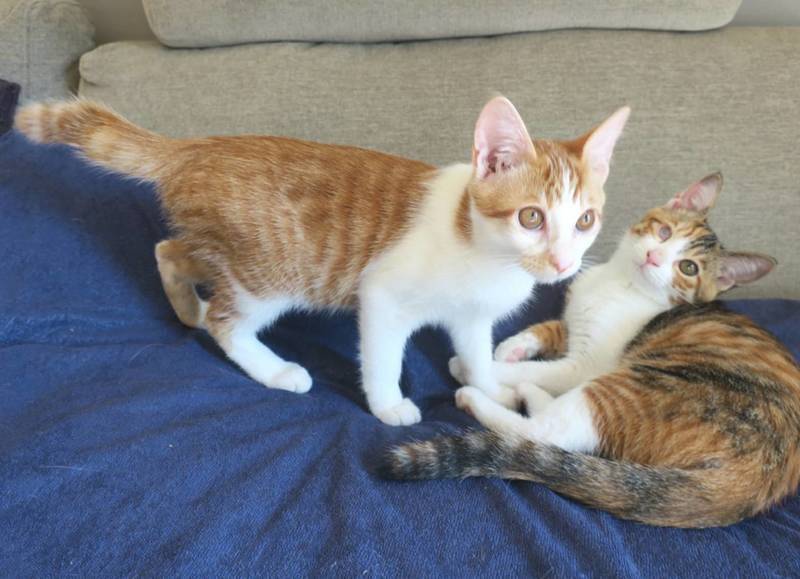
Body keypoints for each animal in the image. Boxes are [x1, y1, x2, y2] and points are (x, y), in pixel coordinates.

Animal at [14, 97, 629, 425]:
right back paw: (272, 367)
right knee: (226, 321)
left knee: (170, 249)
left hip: (224, 248)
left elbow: (477, 355)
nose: (561, 263)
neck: (480, 247)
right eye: (531, 218)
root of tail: (196, 147)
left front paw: (488, 386)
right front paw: (389, 405)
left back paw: (186, 306)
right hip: (268, 273)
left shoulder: (472, 319)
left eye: (584, 222)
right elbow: (381, 356)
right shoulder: (381, 294)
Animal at [381, 173, 800, 527]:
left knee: (544, 434)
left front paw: (479, 365)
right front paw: (512, 346)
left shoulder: (586, 365)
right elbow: (552, 327)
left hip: (634, 386)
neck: (619, 282)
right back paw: (529, 393)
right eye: (664, 231)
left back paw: (481, 396)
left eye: (688, 268)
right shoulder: (573, 319)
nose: (654, 257)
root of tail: (757, 481)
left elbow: (537, 368)